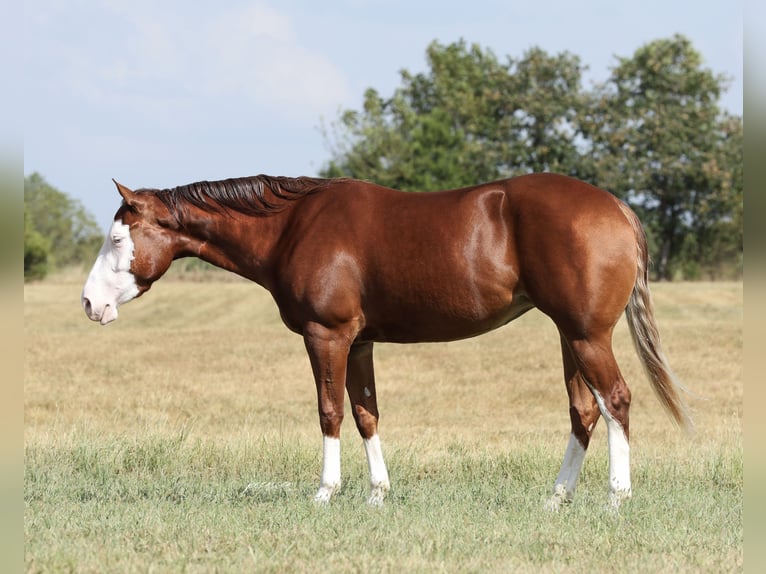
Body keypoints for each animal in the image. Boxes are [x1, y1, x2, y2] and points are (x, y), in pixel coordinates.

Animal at [81, 173, 691, 509]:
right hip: (569, 335)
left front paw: (325, 493)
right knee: (584, 411)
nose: (90, 304)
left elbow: (329, 411)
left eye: (117, 237)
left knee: (616, 403)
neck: (294, 226)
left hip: (588, 336)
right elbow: (365, 412)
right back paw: (556, 499)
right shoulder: (359, 343)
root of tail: (617, 207)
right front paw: (377, 493)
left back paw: (616, 498)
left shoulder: (325, 336)